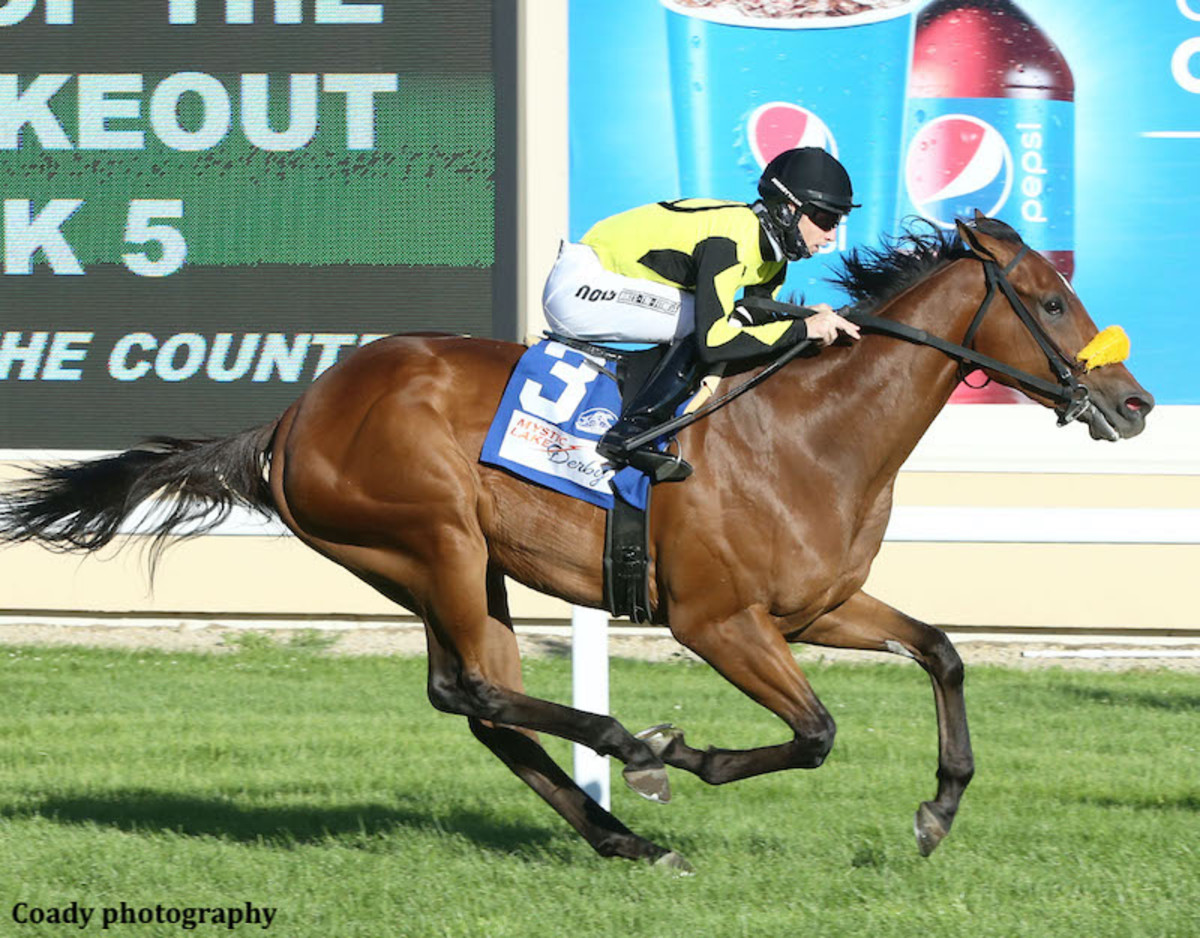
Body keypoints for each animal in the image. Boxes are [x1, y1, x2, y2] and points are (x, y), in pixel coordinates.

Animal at [2, 217, 1161, 868]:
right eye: (1051, 299)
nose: (1135, 402)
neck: (810, 430)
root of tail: (292, 416)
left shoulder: (818, 606)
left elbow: (944, 650)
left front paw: (937, 809)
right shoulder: (716, 620)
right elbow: (818, 730)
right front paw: (682, 752)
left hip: (442, 568)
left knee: (479, 704)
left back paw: (626, 838)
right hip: (435, 538)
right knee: (474, 690)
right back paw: (629, 757)